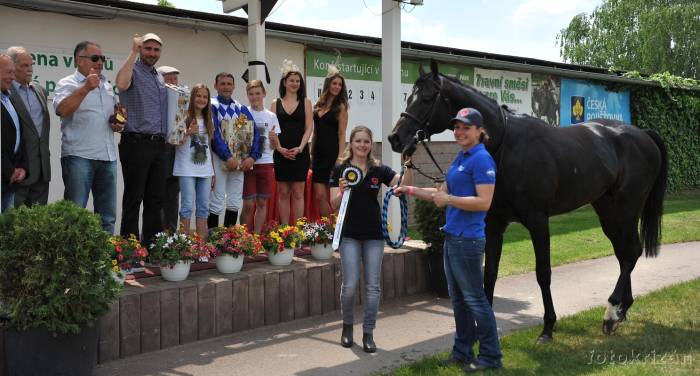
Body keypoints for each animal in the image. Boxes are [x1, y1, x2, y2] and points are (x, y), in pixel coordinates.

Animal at [388, 61, 668, 344]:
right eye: (409, 97)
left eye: (426, 98)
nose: (395, 138)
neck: (506, 145)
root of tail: (643, 134)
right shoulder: (494, 223)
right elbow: (489, 273)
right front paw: (484, 332)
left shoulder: (538, 220)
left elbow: (543, 272)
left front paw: (548, 327)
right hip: (607, 210)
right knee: (624, 253)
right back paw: (622, 310)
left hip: (627, 208)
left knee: (631, 252)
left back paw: (611, 312)